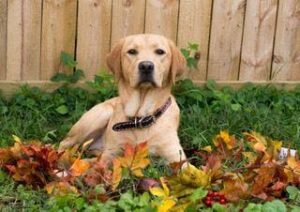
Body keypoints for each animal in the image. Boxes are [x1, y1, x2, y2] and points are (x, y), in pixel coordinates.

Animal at [58, 34, 185, 165]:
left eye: (160, 51)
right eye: (132, 51)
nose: (146, 66)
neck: (140, 118)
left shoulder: (176, 157)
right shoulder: (111, 154)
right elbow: (99, 166)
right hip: (100, 115)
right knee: (65, 144)